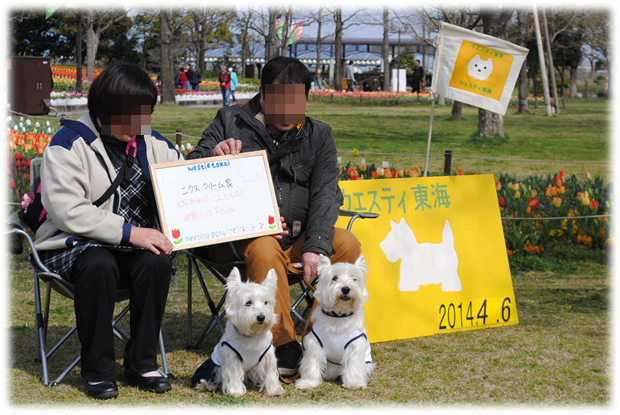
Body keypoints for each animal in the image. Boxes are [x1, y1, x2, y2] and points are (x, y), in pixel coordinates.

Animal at [190, 268, 284, 398]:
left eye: (266, 302)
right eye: (248, 303)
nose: (261, 317)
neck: (251, 335)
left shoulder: (268, 356)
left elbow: (269, 373)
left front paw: (274, 390)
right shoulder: (232, 358)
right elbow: (233, 375)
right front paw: (235, 392)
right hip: (212, 366)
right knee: (204, 379)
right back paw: (210, 386)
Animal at [294, 255, 376, 392]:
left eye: (354, 279)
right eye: (335, 278)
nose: (346, 289)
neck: (338, 317)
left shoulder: (354, 346)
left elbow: (353, 365)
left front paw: (353, 384)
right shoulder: (315, 343)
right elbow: (312, 363)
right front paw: (308, 383)